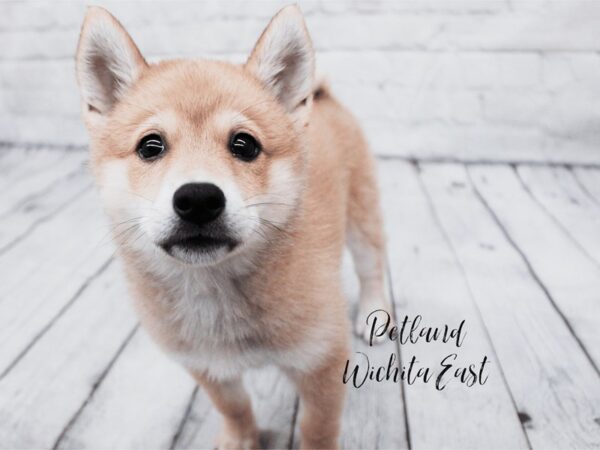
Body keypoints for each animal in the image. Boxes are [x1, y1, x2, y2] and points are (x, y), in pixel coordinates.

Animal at [75, 4, 392, 450]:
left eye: (245, 145)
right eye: (150, 147)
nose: (198, 199)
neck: (215, 292)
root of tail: (324, 98)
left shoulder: (322, 359)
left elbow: (317, 427)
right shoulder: (207, 366)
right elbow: (235, 407)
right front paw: (241, 439)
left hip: (362, 219)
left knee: (372, 269)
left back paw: (374, 315)